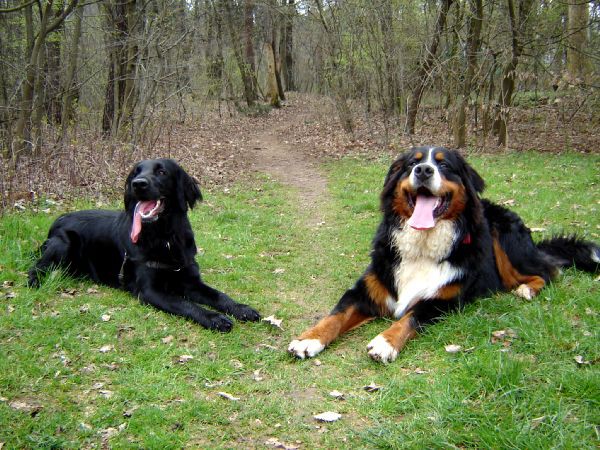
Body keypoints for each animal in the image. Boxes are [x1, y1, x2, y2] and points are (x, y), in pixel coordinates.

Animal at [29, 158, 260, 330]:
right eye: (135, 173)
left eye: (162, 172)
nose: (138, 184)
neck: (165, 238)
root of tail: (58, 219)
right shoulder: (150, 290)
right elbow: (185, 303)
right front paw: (214, 318)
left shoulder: (190, 280)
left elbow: (219, 295)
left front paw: (242, 308)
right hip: (62, 244)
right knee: (36, 267)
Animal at [288, 146, 596, 364]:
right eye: (411, 164)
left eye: (444, 164)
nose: (423, 170)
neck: (422, 246)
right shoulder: (367, 289)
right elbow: (335, 315)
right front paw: (309, 339)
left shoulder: (442, 300)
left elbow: (410, 317)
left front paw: (385, 342)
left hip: (503, 237)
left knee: (547, 271)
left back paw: (526, 290)